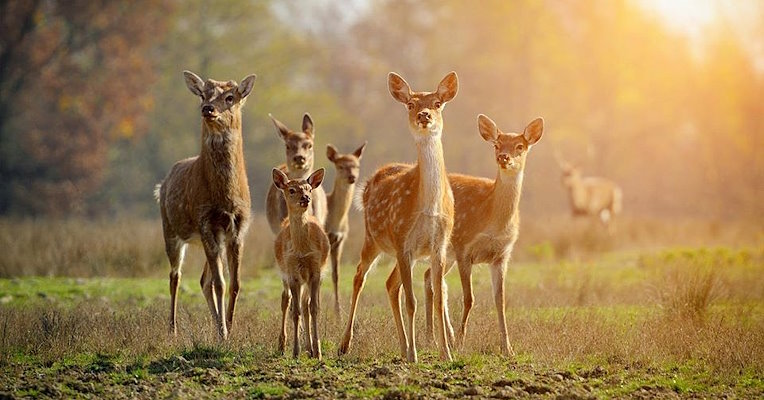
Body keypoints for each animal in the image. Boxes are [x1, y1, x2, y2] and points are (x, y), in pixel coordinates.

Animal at [155, 70, 256, 340]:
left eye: (231, 97)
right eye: (203, 94)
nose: (208, 108)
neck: (226, 198)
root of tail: (163, 184)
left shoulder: (238, 228)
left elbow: (235, 283)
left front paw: (228, 327)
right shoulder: (205, 221)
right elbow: (220, 283)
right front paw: (224, 332)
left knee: (203, 280)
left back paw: (215, 323)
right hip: (170, 229)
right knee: (175, 276)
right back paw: (172, 329)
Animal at [274, 166, 330, 360]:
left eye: (309, 189)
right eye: (291, 190)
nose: (305, 198)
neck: (301, 250)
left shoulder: (315, 271)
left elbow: (314, 308)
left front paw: (318, 351)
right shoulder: (292, 272)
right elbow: (295, 311)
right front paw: (295, 351)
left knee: (305, 305)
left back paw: (310, 348)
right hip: (285, 274)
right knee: (286, 301)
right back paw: (282, 345)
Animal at [338, 72, 456, 362]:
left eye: (437, 103)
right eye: (410, 104)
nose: (424, 115)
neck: (429, 207)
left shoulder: (438, 245)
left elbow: (438, 298)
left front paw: (446, 353)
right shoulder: (403, 239)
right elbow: (412, 301)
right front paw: (415, 355)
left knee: (391, 284)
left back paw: (402, 347)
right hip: (373, 238)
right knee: (359, 277)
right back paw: (345, 344)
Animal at [420, 114, 548, 354]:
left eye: (520, 146)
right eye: (496, 144)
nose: (503, 157)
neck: (493, 221)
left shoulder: (501, 256)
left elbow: (501, 300)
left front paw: (507, 348)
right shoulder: (464, 247)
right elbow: (469, 298)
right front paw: (461, 343)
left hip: (447, 255)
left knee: (429, 278)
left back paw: (441, 337)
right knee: (432, 281)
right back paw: (433, 338)